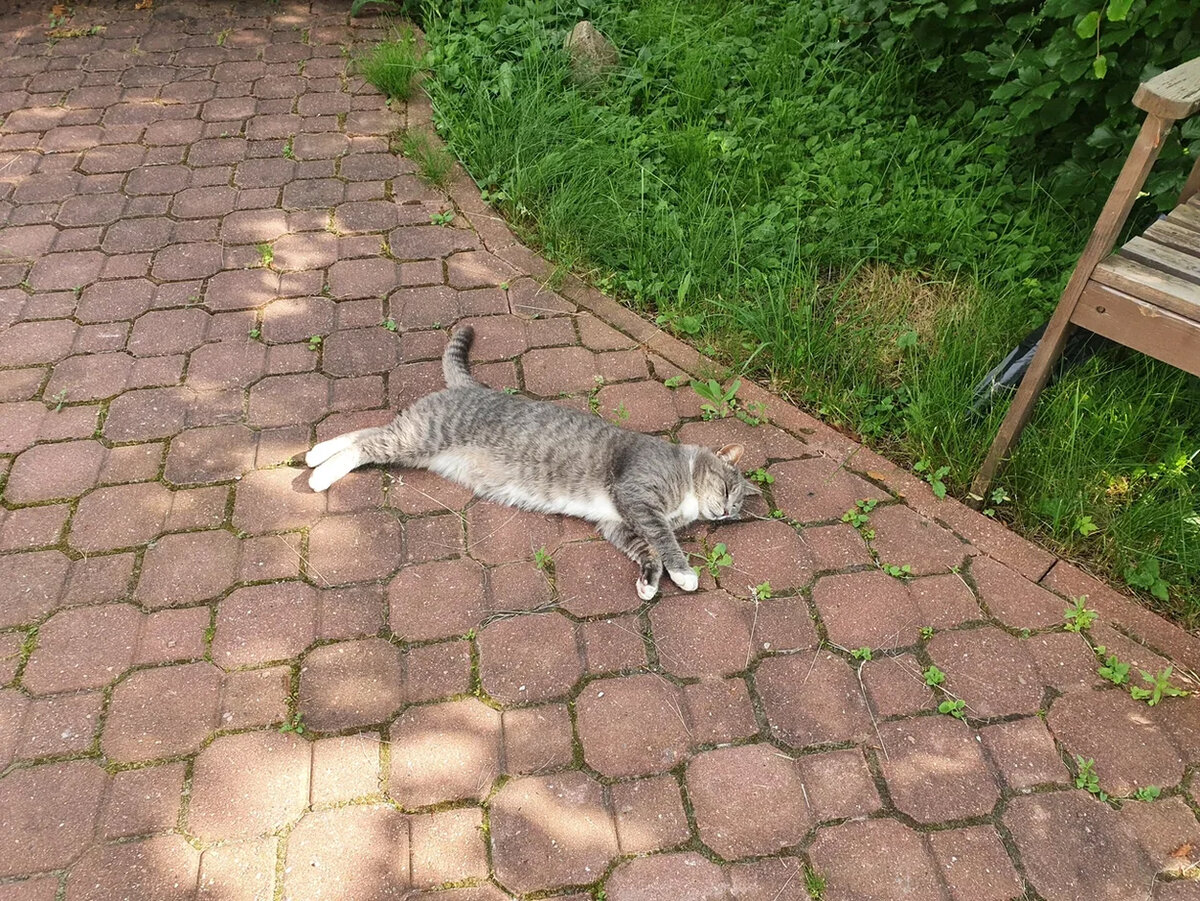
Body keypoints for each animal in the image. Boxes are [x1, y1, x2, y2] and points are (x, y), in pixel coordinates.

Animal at [305, 325, 759, 600]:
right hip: (424, 436)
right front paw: (684, 573)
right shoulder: (638, 498)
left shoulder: (618, 523)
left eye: (735, 510)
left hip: (417, 444)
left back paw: (314, 452)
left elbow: (648, 551)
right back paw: (319, 475)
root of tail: (470, 386)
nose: (723, 513)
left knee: (367, 432)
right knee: (367, 445)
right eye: (725, 489)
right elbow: (665, 543)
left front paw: (650, 582)